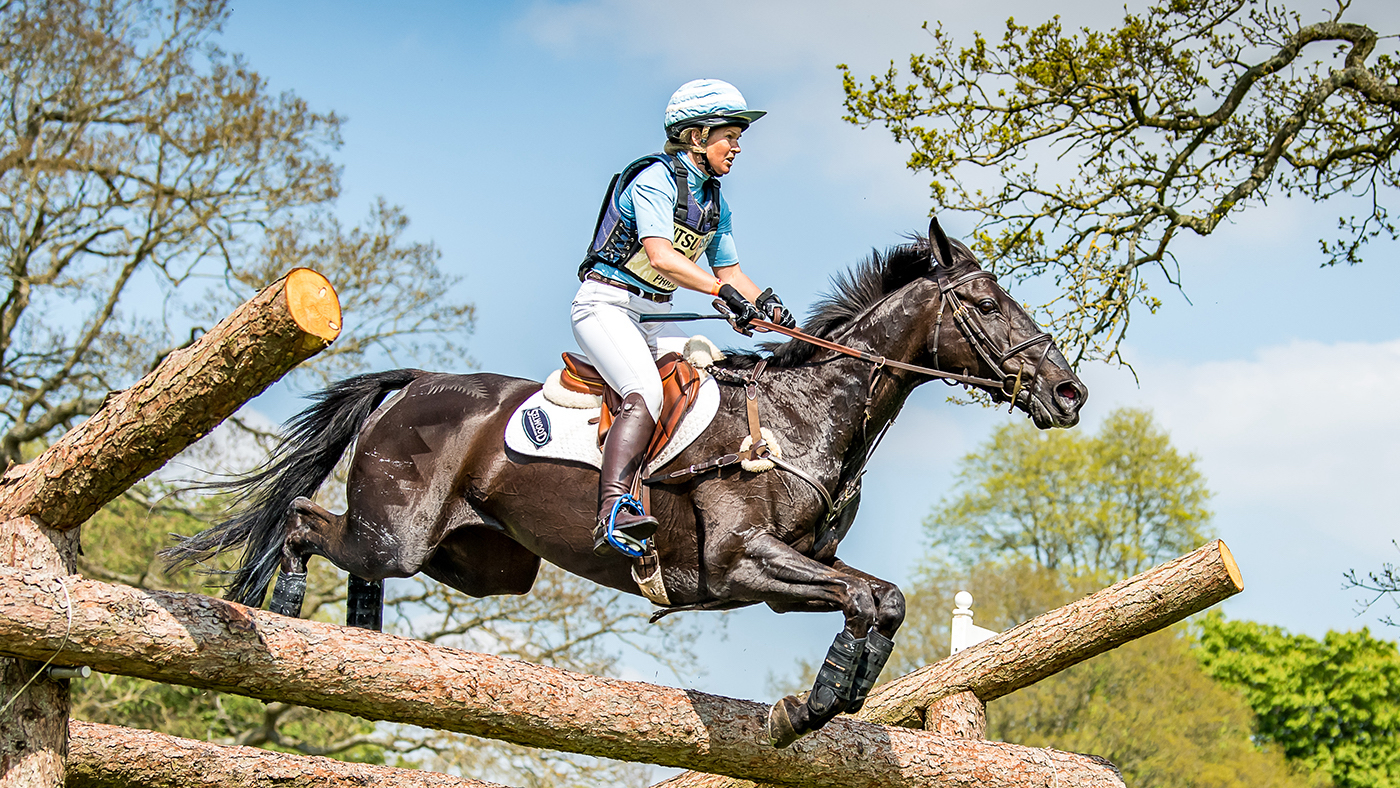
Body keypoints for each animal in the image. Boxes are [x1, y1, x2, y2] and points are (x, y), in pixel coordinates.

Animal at [165, 217, 1087, 748]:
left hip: (483, 563)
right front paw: (809, 707)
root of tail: (420, 380)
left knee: (356, 552)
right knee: (302, 520)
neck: (807, 414)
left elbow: (883, 600)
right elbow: (866, 598)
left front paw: (834, 697)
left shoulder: (796, 572)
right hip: (398, 533)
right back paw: (288, 617)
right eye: (987, 304)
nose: (1069, 393)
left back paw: (364, 639)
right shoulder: (741, 563)